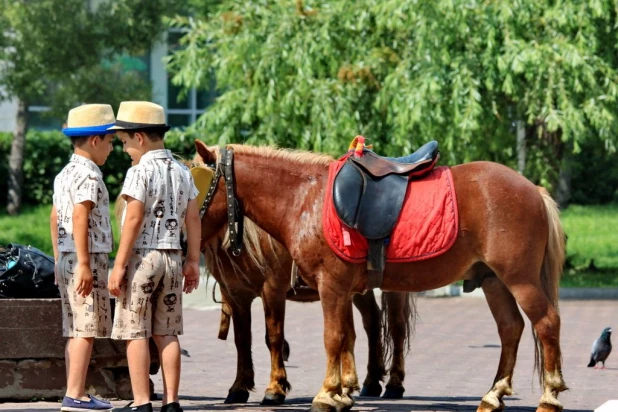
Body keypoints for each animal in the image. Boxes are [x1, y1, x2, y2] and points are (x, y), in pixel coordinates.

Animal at [202, 200, 414, 406]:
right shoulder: (236, 294)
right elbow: (242, 340)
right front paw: (239, 387)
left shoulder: (273, 289)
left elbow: (273, 338)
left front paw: (275, 388)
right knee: (372, 320)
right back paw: (370, 381)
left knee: (396, 325)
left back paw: (394, 383)